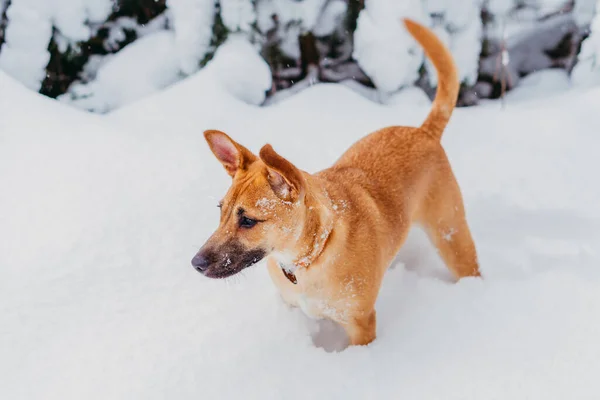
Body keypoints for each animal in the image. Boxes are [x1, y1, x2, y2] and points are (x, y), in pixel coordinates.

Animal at [195, 18, 480, 346]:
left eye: (248, 221)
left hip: (451, 235)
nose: (195, 263)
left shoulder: (360, 324)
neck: (310, 256)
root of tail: (424, 131)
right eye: (221, 210)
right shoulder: (291, 302)